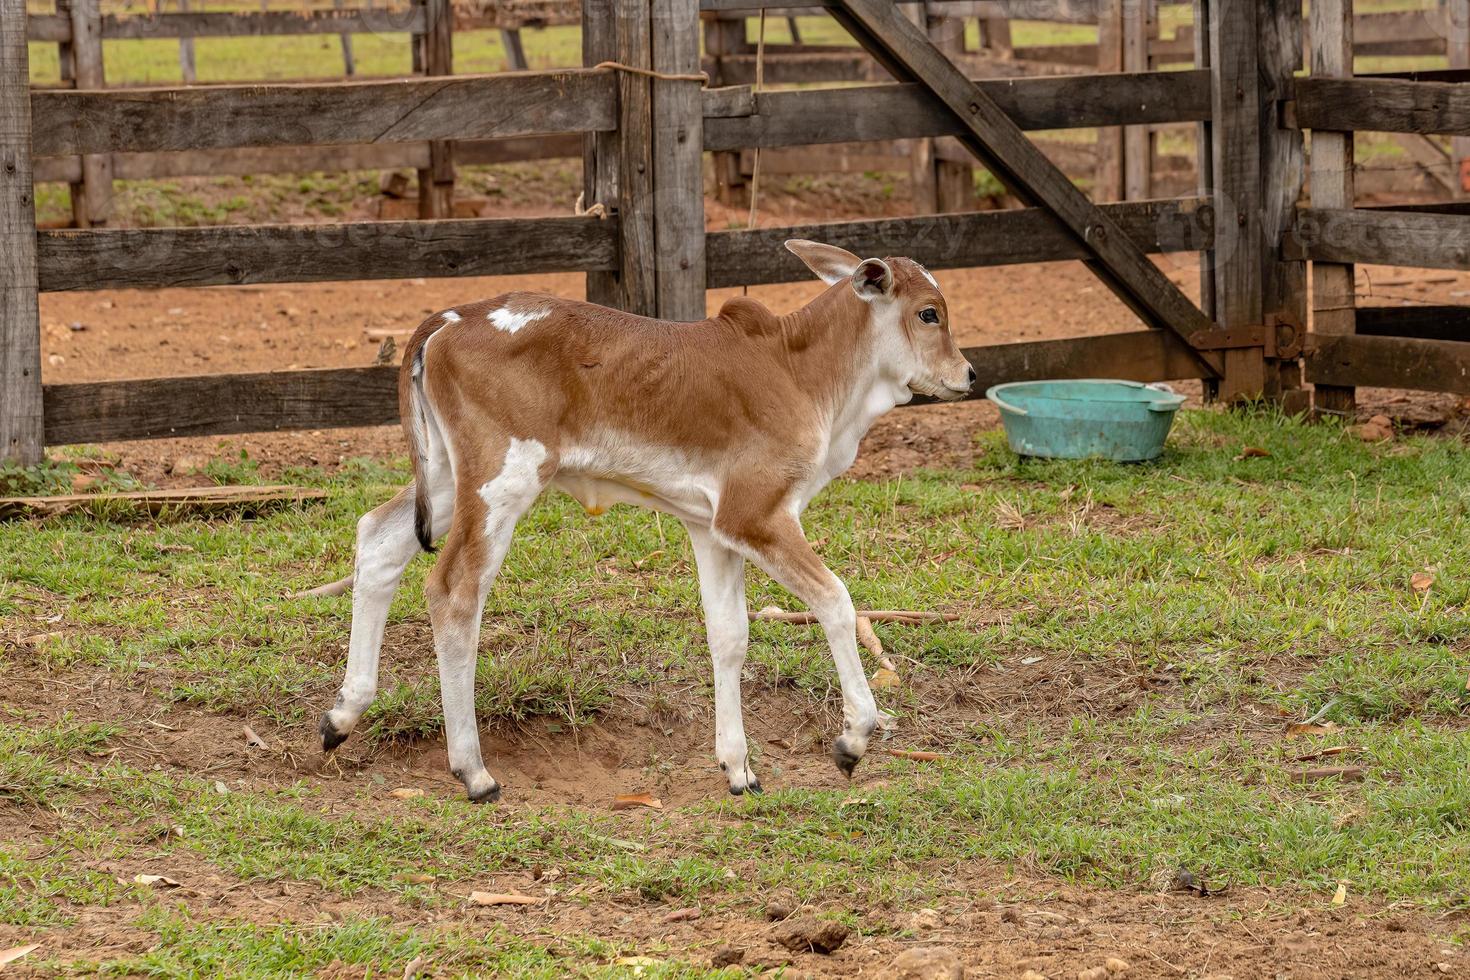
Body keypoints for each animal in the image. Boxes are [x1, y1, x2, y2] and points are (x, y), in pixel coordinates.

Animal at [318, 240, 976, 799]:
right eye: (928, 314)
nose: (968, 375)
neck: (802, 372)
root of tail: (449, 319)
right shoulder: (757, 514)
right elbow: (836, 600)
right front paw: (853, 738)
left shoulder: (713, 530)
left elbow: (729, 636)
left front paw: (738, 768)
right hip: (502, 480)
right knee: (455, 591)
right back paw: (473, 769)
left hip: (448, 480)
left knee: (377, 538)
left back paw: (342, 714)